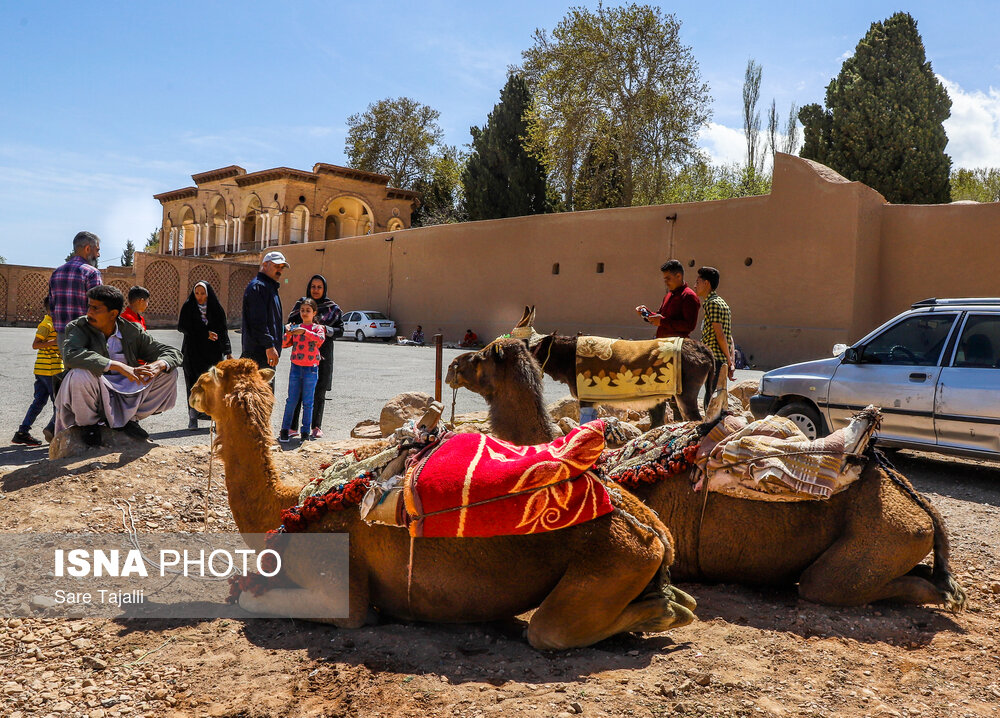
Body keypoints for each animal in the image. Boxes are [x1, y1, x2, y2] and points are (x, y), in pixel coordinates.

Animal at [191, 360, 700, 652]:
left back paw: (666, 611)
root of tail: (657, 532)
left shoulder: (338, 583)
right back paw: (672, 600)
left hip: (615, 557)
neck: (289, 505)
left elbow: (259, 601)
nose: (191, 391)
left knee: (549, 631)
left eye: (205, 376)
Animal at [448, 340, 968, 612]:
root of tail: (923, 506)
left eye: (481, 356)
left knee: (834, 586)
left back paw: (947, 595)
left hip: (879, 539)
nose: (452, 366)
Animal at [512, 306, 716, 424]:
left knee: (695, 420)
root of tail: (702, 347)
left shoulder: (586, 399)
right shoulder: (591, 399)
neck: (567, 356)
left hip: (685, 395)